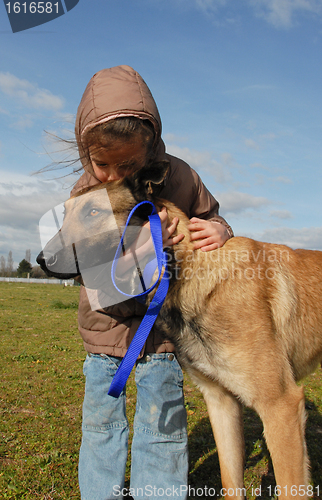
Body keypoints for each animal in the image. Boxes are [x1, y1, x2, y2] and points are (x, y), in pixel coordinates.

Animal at [36, 162, 322, 498]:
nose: (42, 260)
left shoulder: (281, 406)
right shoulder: (221, 402)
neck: (186, 271)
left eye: (94, 212)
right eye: (65, 214)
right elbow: (230, 480)